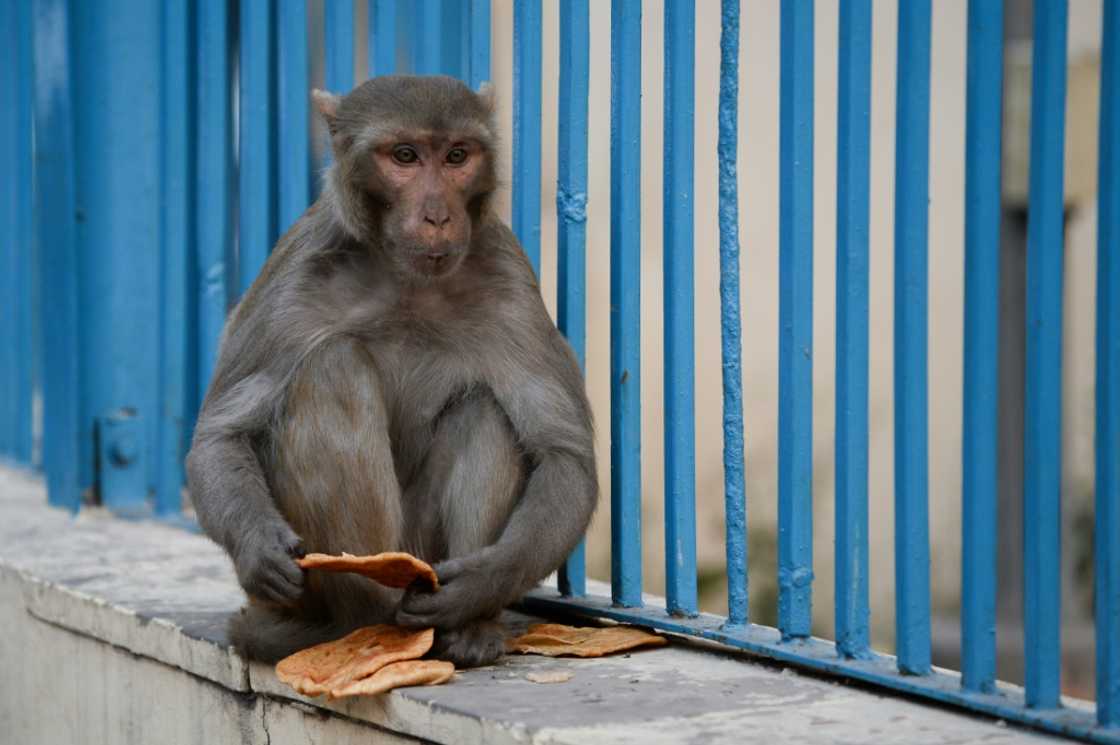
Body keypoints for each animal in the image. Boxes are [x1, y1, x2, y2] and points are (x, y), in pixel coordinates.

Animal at [185, 75, 597, 668]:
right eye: (405, 156)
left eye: (457, 156)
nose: (438, 216)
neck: (407, 281)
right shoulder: (295, 277)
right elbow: (220, 436)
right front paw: (258, 547)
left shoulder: (511, 280)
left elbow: (565, 456)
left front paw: (480, 582)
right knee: (332, 367)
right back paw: (360, 615)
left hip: (423, 548)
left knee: (485, 408)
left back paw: (464, 628)